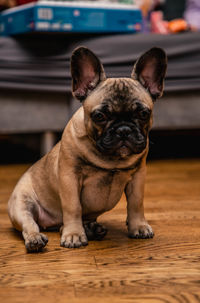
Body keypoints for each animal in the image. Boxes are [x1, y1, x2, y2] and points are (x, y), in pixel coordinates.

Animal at [7, 46, 167, 253]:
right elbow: (73, 207)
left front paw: (138, 226)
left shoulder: (138, 177)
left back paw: (91, 229)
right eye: (99, 116)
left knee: (63, 226)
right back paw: (37, 239)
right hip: (22, 205)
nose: (123, 130)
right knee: (30, 224)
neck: (111, 159)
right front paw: (74, 235)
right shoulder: (70, 178)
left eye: (143, 114)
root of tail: (50, 224)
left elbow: (136, 204)